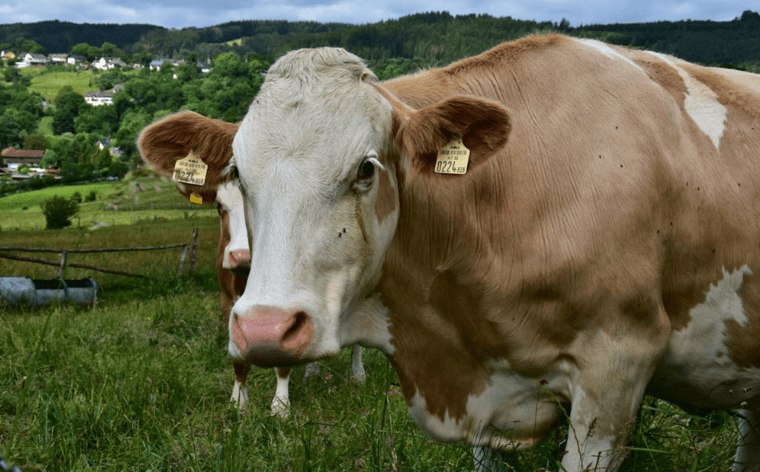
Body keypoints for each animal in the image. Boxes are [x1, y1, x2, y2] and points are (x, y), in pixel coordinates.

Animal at [140, 117, 366, 416]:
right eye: (220, 206)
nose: (242, 256)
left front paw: (280, 406)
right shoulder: (228, 299)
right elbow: (237, 355)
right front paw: (238, 402)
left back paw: (357, 373)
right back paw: (312, 370)